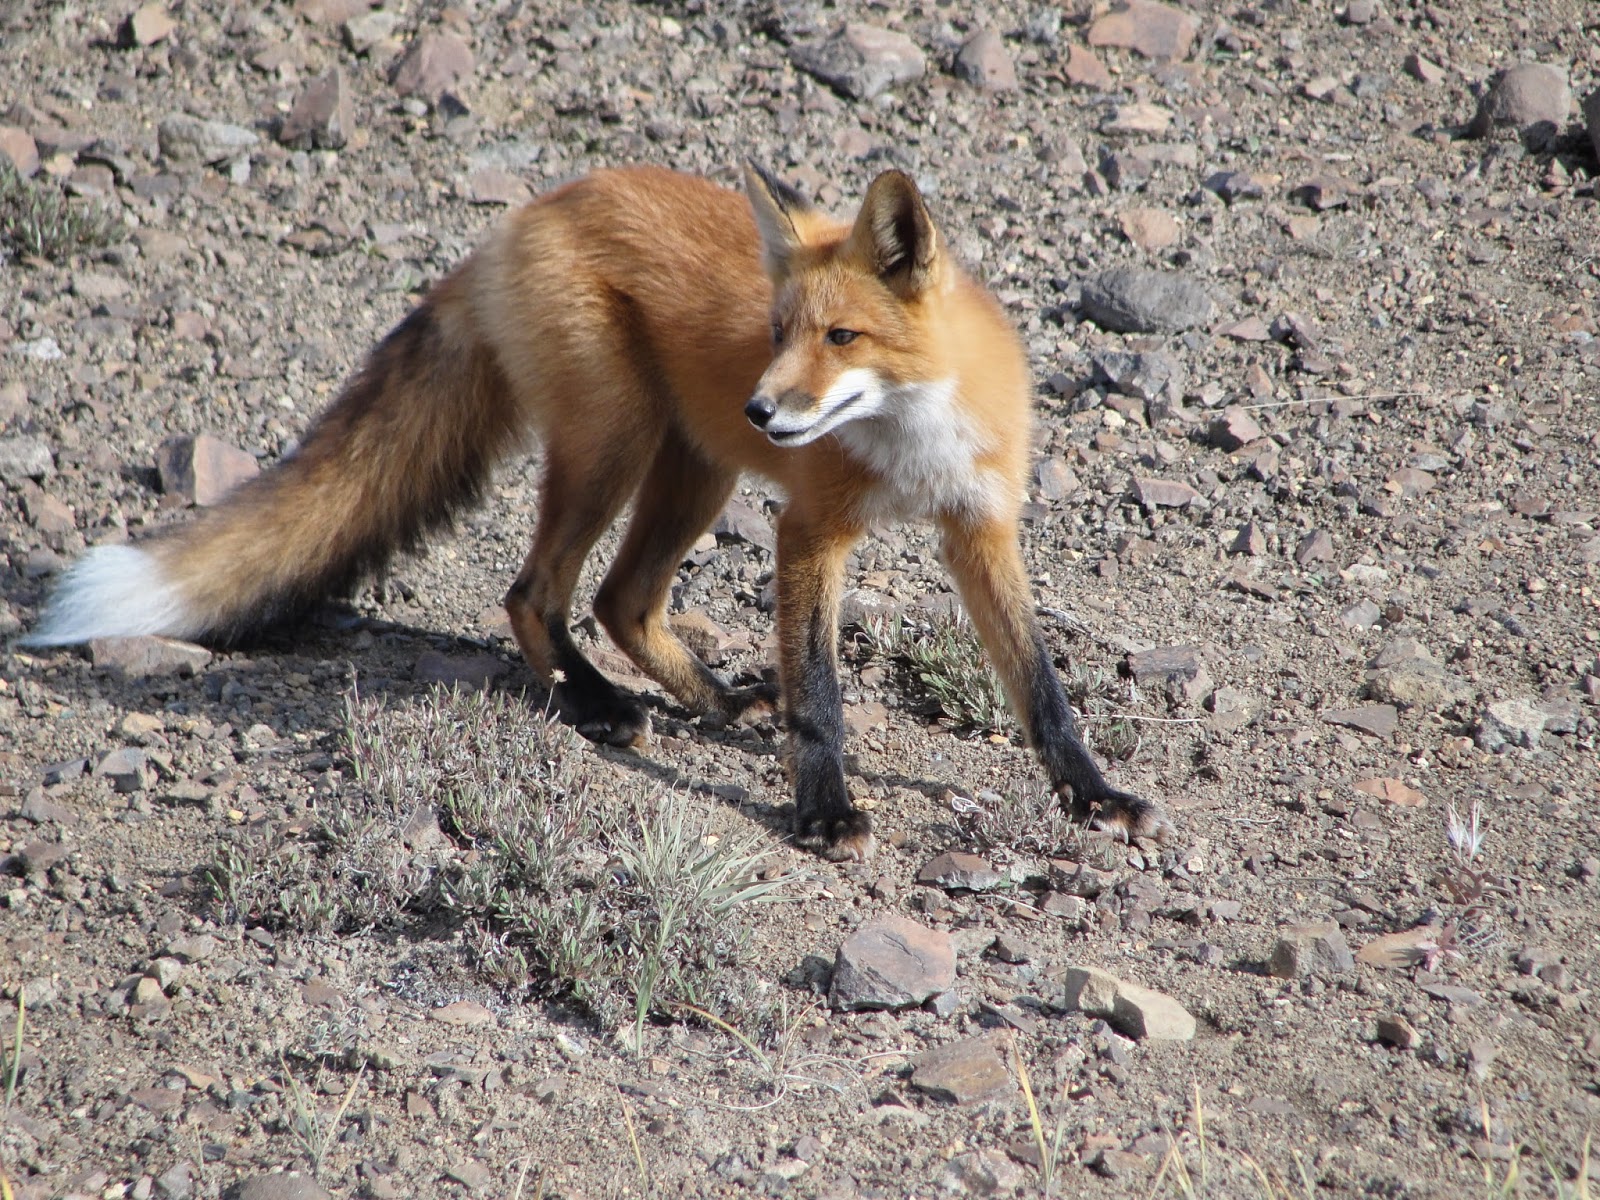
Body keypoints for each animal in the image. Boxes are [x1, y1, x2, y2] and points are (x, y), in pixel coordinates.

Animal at [25, 163, 1166, 861]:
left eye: (841, 337)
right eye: (776, 331)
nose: (762, 407)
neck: (912, 440)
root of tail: (521, 219)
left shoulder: (981, 530)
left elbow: (1041, 689)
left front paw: (1092, 795)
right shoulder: (811, 531)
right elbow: (821, 695)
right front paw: (825, 808)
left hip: (693, 472)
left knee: (622, 601)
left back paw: (710, 701)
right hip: (616, 448)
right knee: (536, 594)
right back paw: (597, 705)